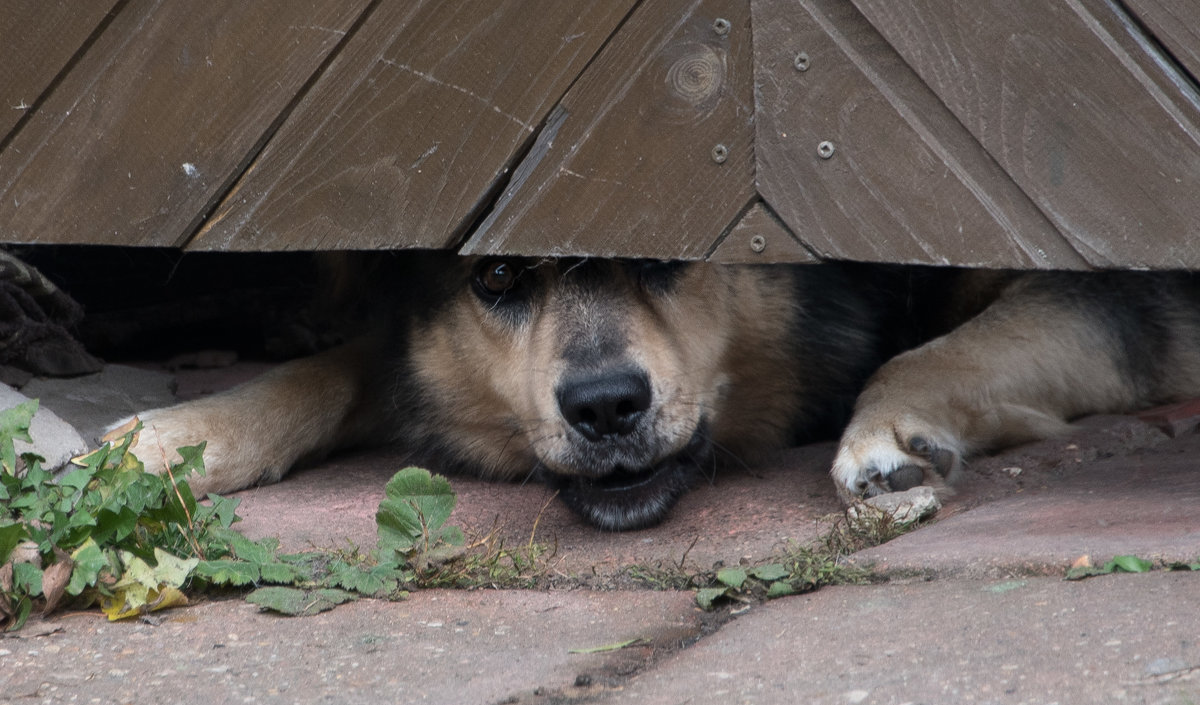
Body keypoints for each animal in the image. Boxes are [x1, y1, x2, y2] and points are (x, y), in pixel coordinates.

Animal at [126, 252, 1200, 527]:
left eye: (663, 259)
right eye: (499, 278)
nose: (605, 407)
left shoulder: (1115, 292)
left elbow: (932, 351)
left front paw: (890, 433)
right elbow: (341, 367)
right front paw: (176, 439)